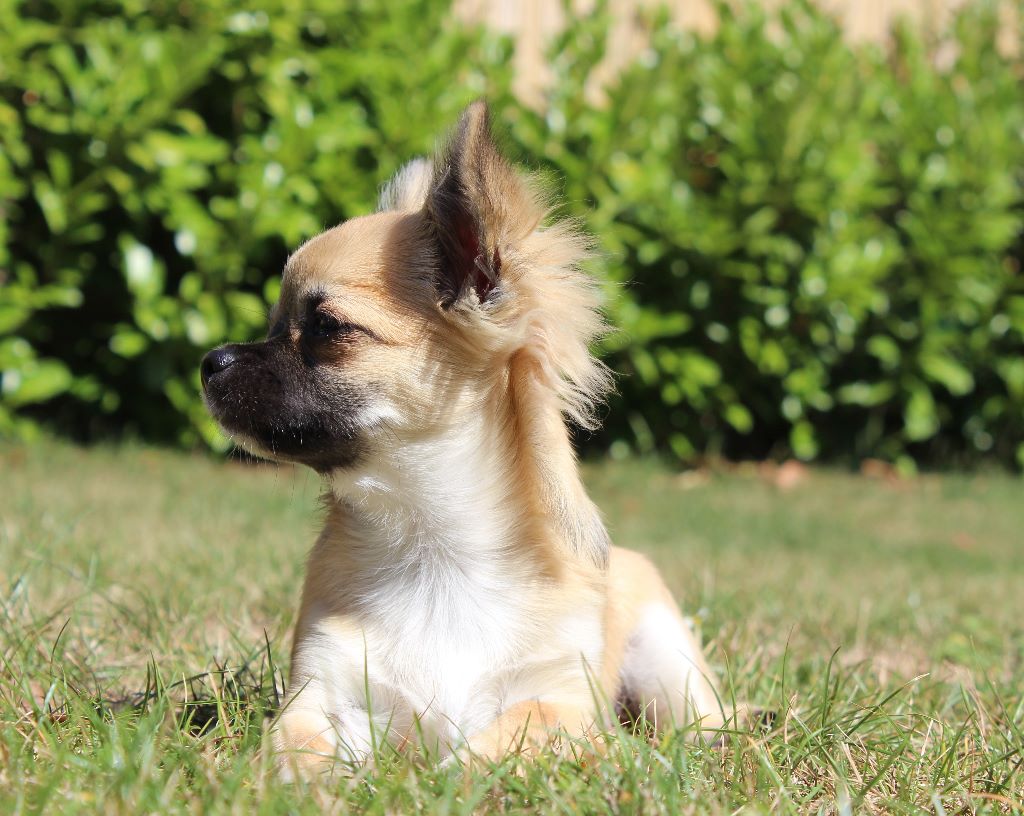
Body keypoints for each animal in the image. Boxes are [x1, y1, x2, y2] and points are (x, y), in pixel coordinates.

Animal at [201, 98, 729, 774]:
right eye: (272, 323)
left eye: (323, 328)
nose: (210, 361)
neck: (435, 546)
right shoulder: (324, 692)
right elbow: (297, 744)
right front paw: (296, 778)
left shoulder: (563, 705)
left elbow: (503, 740)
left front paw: (450, 778)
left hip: (671, 672)